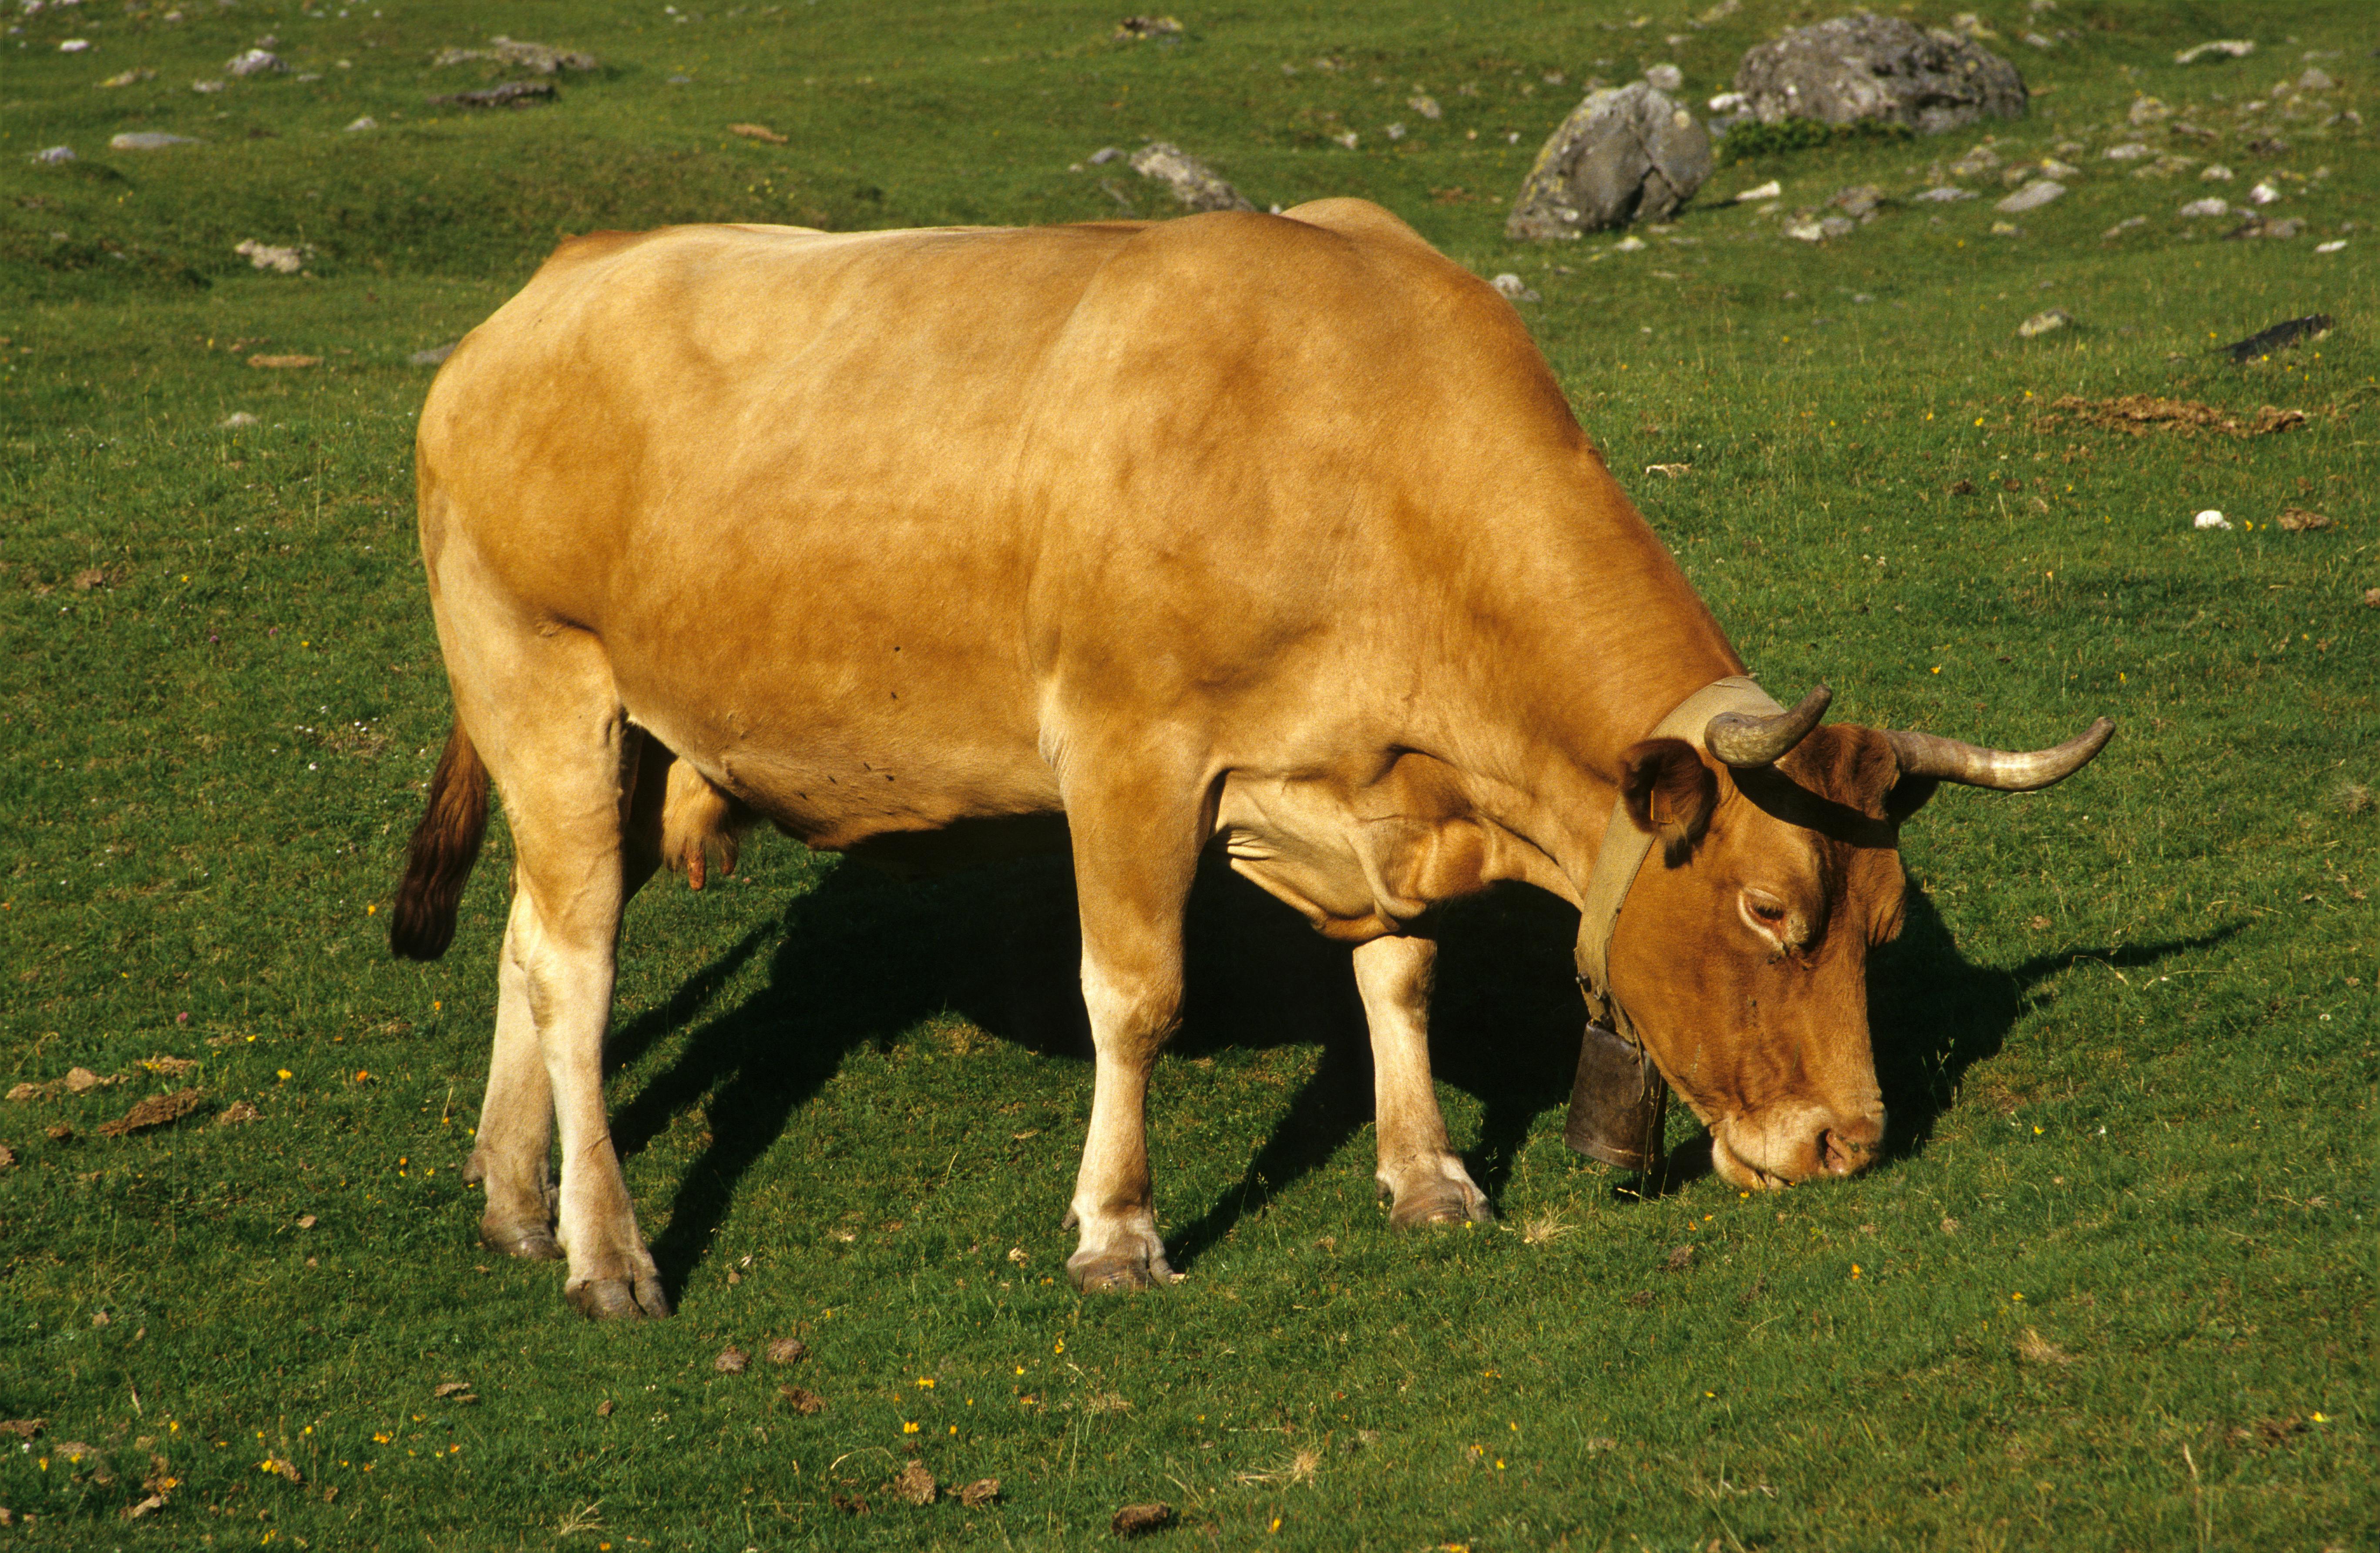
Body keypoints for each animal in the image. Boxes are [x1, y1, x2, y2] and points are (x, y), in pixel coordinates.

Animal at [390, 200, 2111, 1318]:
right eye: (1767, 912)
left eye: (1882, 923)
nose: (1844, 1144)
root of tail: (541, 296)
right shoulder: (1128, 745)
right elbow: (1135, 998)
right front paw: (1116, 1230)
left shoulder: (1374, 788)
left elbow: (1400, 974)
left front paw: (1427, 1175)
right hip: (540, 677)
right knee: (581, 972)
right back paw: (608, 1250)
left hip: (604, 732)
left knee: (531, 945)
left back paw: (513, 1199)